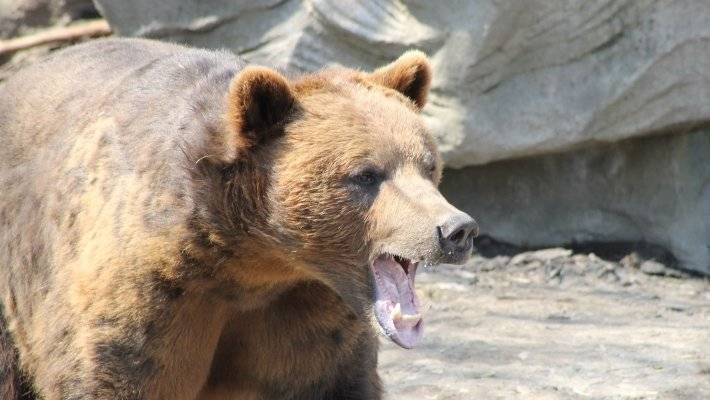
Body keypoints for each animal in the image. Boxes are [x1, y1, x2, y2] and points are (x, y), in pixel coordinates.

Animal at [0, 38, 482, 400]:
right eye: (366, 174)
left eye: (429, 166)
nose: (456, 229)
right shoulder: (145, 297)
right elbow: (110, 373)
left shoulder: (305, 317)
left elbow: (334, 381)